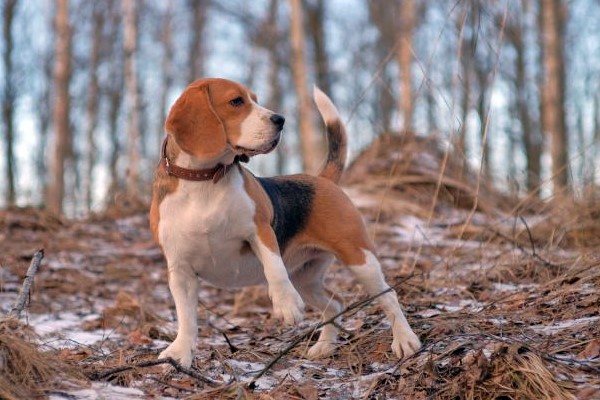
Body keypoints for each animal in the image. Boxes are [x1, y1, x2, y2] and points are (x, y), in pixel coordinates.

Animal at [150, 76, 422, 368]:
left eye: (255, 99)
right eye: (236, 101)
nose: (280, 120)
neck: (203, 180)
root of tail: (321, 178)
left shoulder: (260, 231)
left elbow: (274, 269)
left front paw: (286, 304)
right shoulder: (180, 269)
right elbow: (186, 317)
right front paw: (179, 353)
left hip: (359, 257)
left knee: (389, 296)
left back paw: (405, 340)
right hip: (306, 276)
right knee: (335, 303)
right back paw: (325, 346)